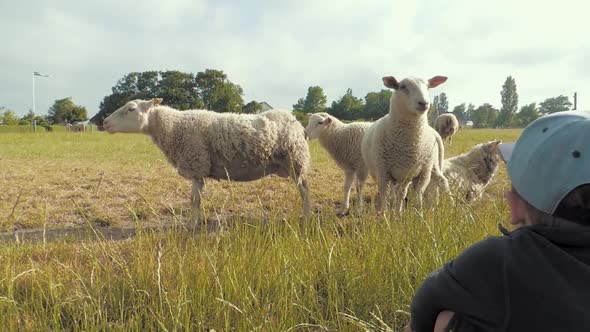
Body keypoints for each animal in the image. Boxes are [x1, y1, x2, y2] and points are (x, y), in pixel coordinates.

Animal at [102, 98, 314, 223]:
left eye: (130, 109)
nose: (104, 122)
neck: (172, 127)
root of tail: (296, 121)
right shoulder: (199, 169)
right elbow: (197, 200)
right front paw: (196, 222)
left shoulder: (197, 166)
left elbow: (194, 200)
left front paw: (192, 225)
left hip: (296, 160)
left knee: (304, 190)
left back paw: (306, 216)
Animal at [360, 75, 454, 214]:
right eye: (403, 87)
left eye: (428, 86)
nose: (424, 103)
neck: (406, 143)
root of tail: (434, 132)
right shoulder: (383, 172)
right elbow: (386, 196)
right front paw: (387, 215)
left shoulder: (410, 173)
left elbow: (403, 194)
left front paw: (402, 213)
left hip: (429, 166)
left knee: (435, 183)